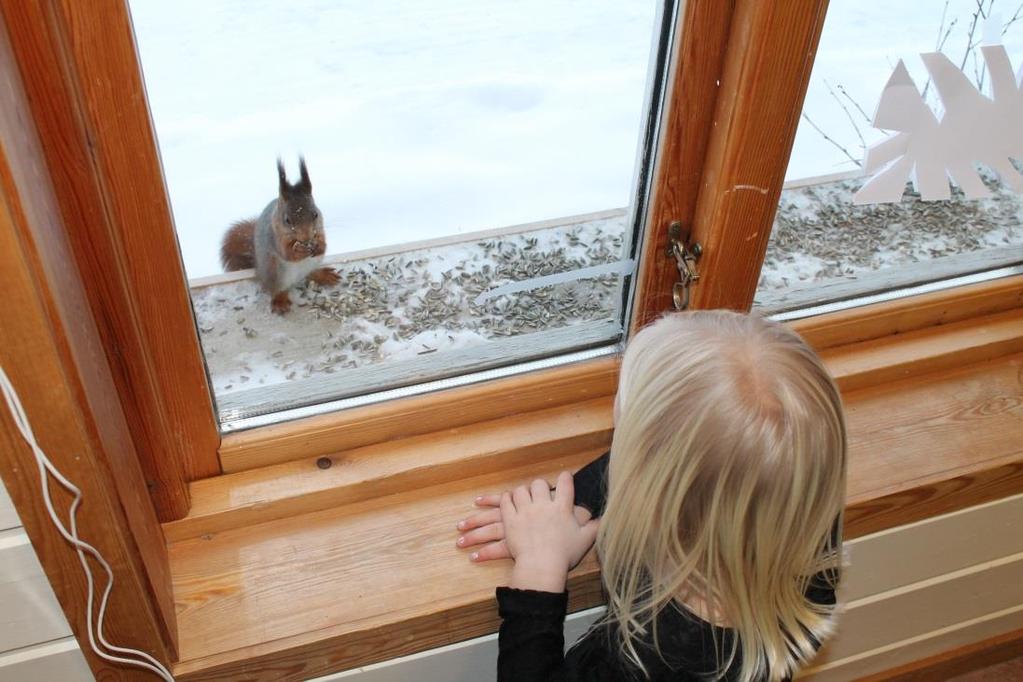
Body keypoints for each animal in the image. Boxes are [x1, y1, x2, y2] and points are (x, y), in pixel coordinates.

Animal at [219, 157, 339, 314]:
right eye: (287, 220)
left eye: (315, 214)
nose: (306, 238)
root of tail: (259, 273)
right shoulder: (275, 237)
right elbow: (286, 252)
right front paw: (298, 250)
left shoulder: (319, 228)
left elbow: (323, 241)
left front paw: (319, 246)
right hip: (275, 273)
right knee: (276, 289)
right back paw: (280, 301)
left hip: (312, 263)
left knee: (309, 274)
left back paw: (323, 275)